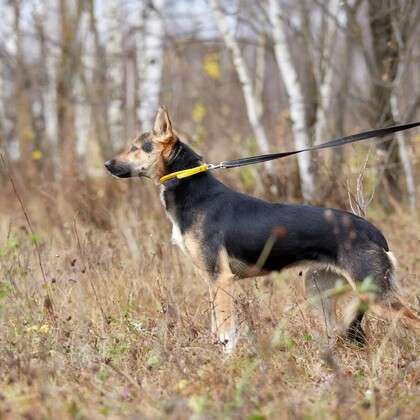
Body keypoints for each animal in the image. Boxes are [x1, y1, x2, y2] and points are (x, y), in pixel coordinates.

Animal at [105, 106, 420, 352]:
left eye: (136, 148)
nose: (107, 164)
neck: (191, 188)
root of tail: (373, 231)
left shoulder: (221, 279)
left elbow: (226, 333)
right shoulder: (212, 281)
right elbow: (215, 327)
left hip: (375, 295)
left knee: (412, 319)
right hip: (319, 289)